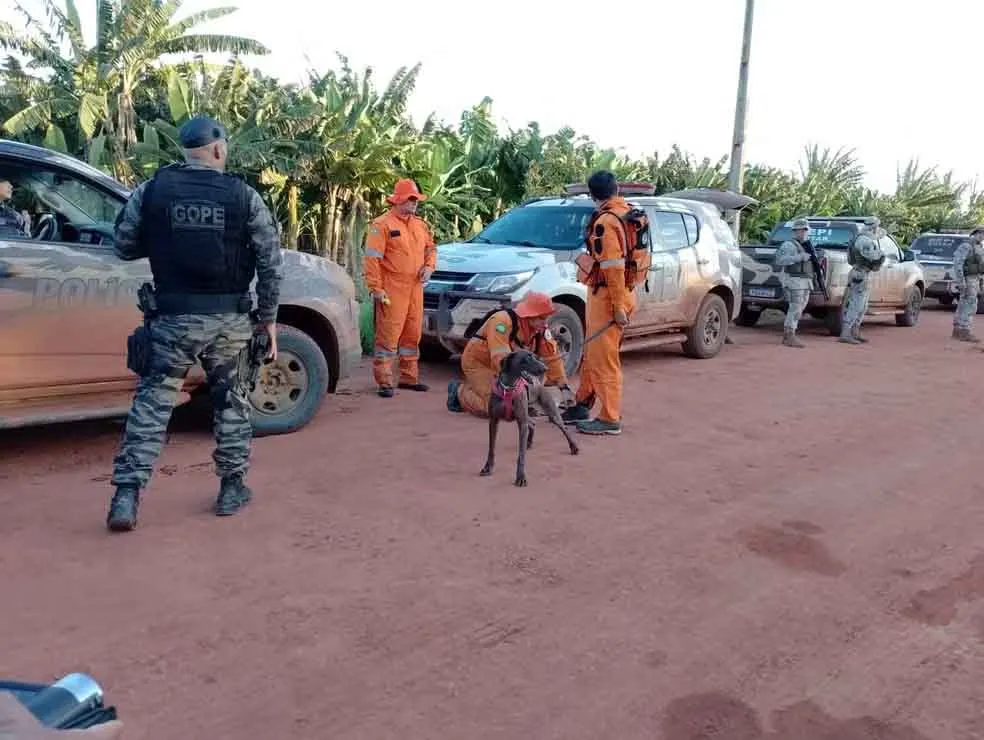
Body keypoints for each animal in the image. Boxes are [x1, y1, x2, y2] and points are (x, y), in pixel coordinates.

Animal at [480, 348, 580, 486]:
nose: (545, 368)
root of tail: (541, 384)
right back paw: (529, 442)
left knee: (564, 428)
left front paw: (521, 477)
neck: (508, 387)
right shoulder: (494, 421)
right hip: (528, 414)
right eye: (527, 358)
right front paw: (488, 467)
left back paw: (573, 447)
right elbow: (491, 448)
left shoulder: (521, 422)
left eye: (535, 356)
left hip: (552, 414)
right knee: (532, 423)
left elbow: (521, 455)